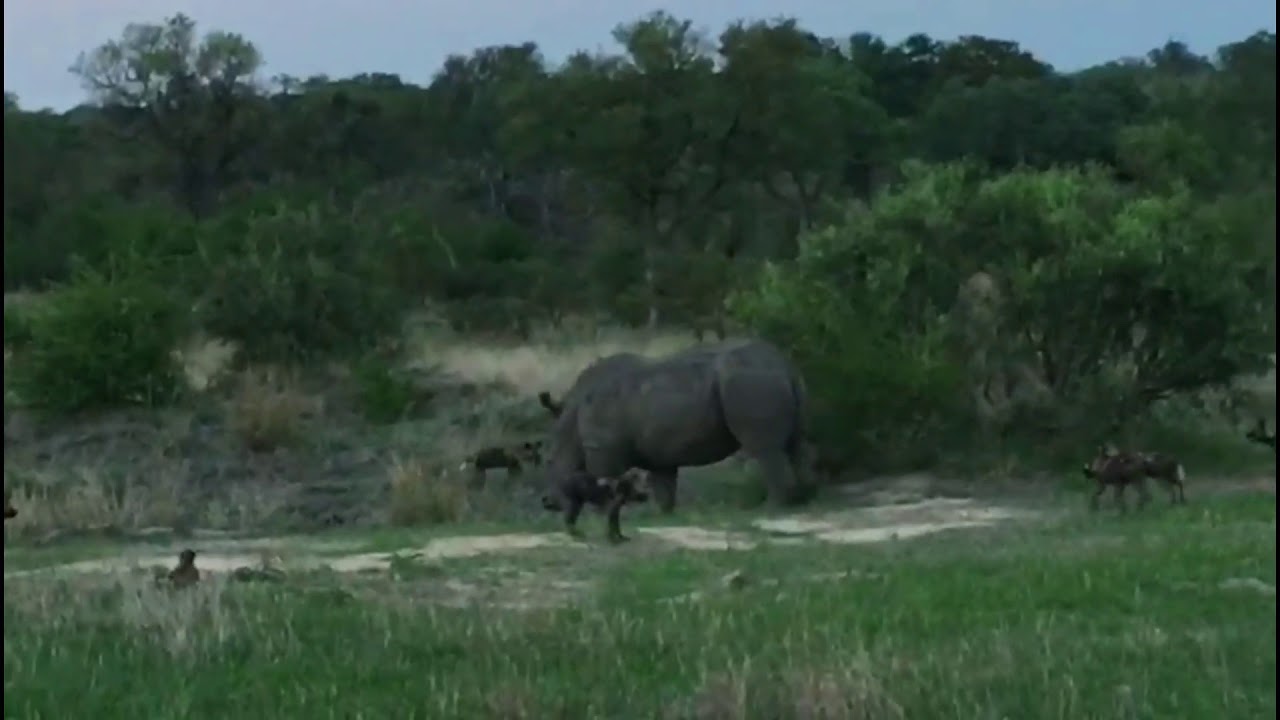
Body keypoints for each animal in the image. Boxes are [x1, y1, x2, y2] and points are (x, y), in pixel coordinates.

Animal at [539, 338, 811, 542]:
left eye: (549, 461)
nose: (548, 503)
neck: (570, 419)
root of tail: (782, 364)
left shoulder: (602, 449)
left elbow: (602, 481)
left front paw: (600, 514)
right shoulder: (659, 454)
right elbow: (664, 486)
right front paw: (663, 516)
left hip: (748, 380)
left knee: (766, 450)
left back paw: (770, 509)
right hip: (769, 378)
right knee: (796, 443)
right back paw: (802, 502)